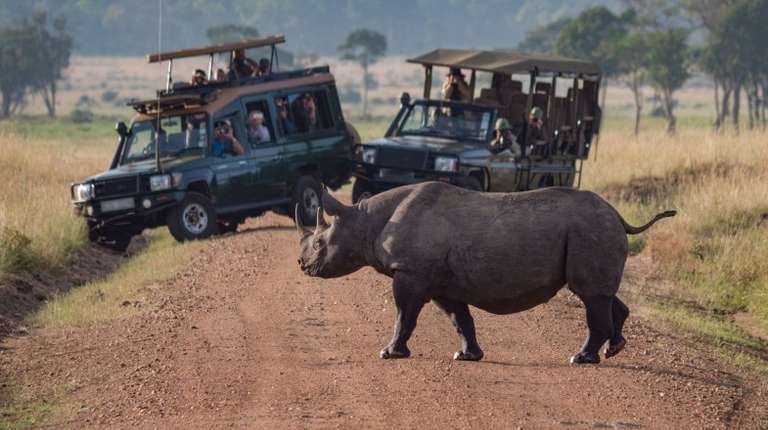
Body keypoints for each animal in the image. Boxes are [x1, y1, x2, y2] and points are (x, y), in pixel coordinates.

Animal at [295, 182, 675, 364]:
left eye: (319, 243)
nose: (301, 265)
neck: (365, 221)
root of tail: (618, 215)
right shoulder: (439, 282)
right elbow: (459, 319)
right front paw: (467, 356)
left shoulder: (412, 272)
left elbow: (404, 315)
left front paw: (389, 353)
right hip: (595, 229)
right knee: (602, 294)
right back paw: (614, 349)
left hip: (590, 229)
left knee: (590, 295)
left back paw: (581, 359)